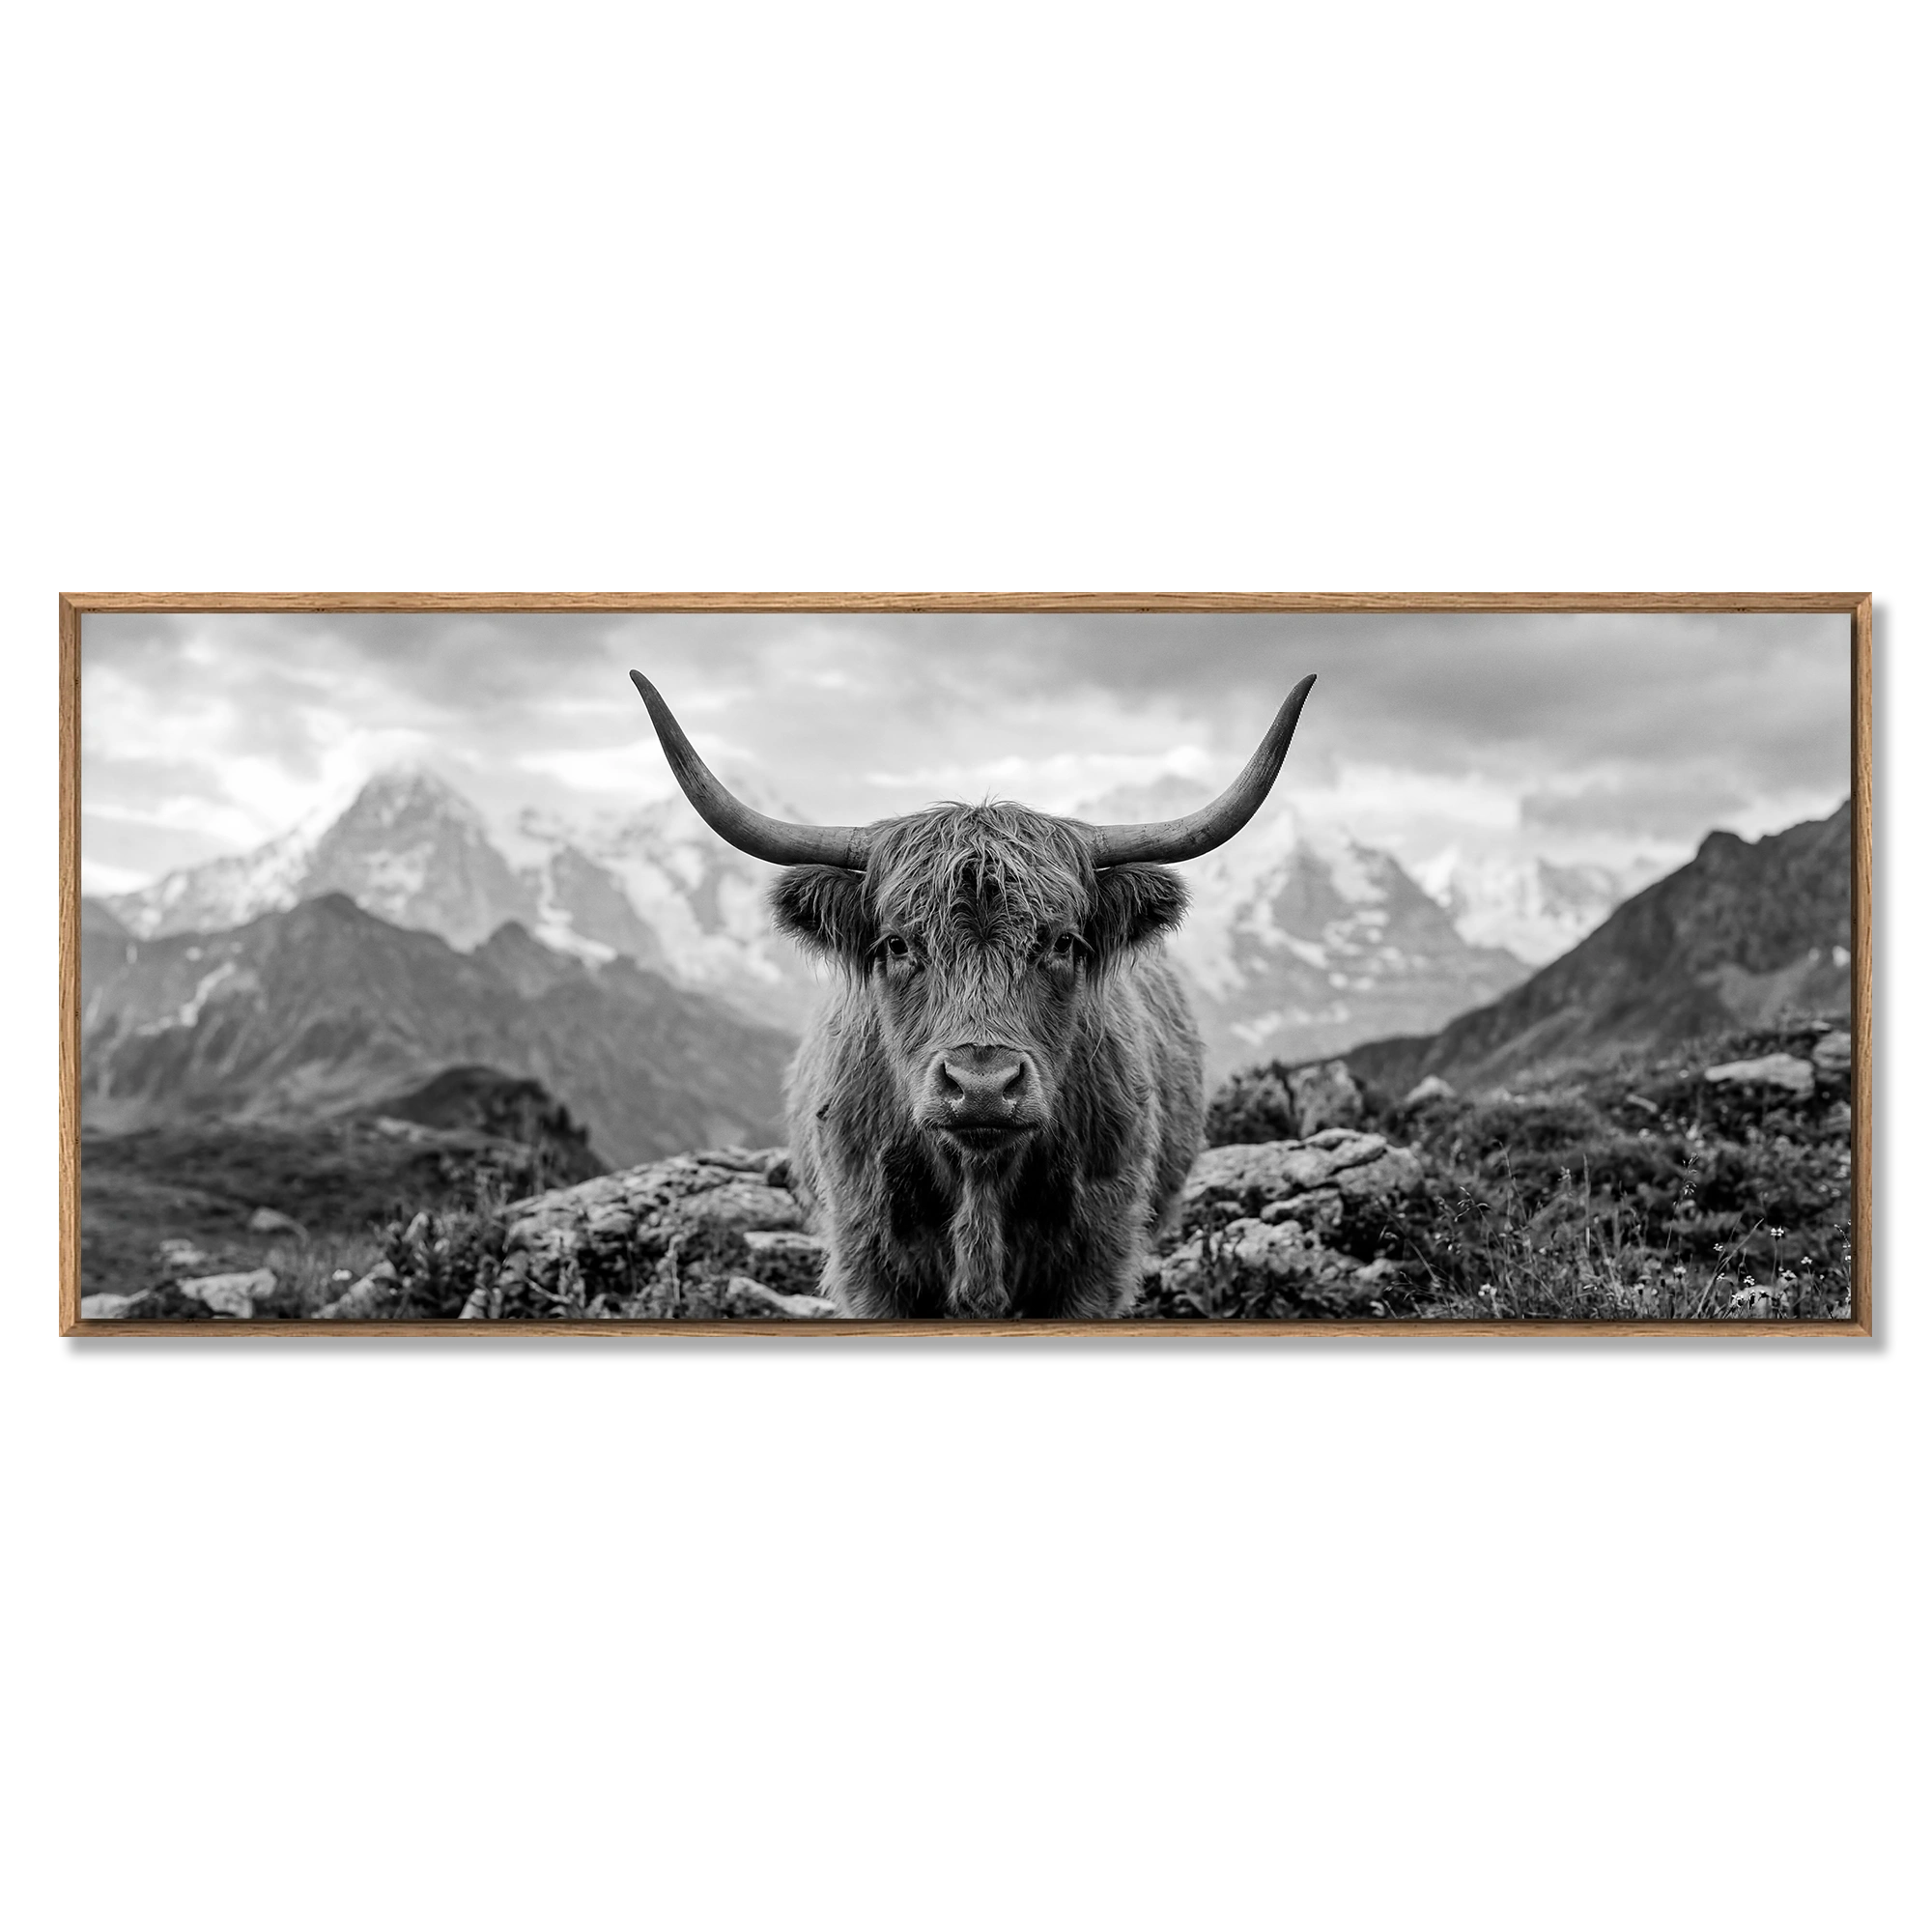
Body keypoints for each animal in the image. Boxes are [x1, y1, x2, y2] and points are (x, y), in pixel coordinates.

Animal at [630, 669, 1316, 1319]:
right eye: (897, 944)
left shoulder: (1098, 1260)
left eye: (1063, 942)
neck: (978, 1179)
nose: (982, 1086)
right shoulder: (866, 1264)